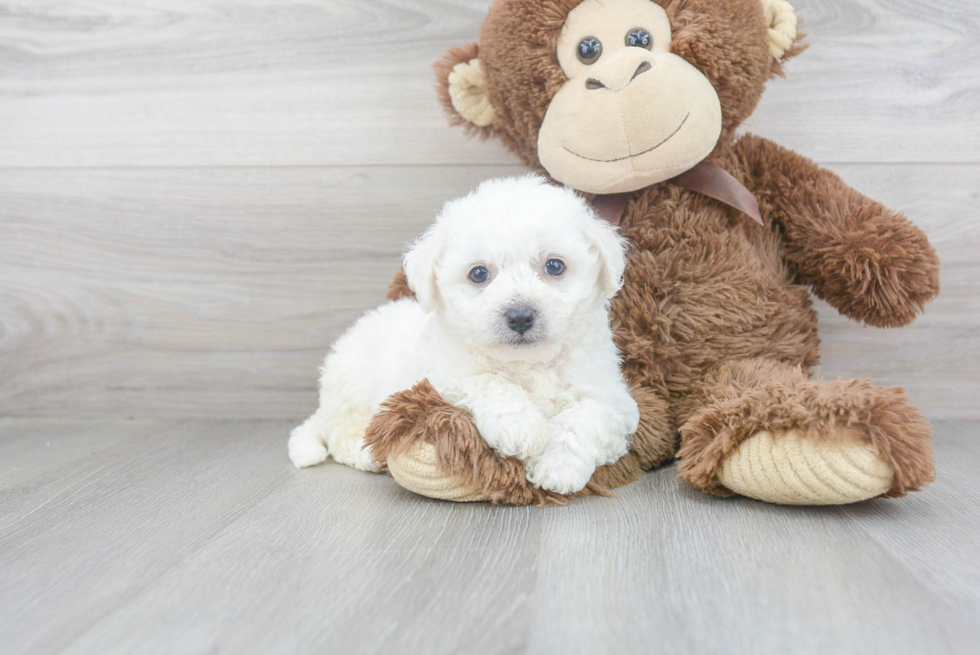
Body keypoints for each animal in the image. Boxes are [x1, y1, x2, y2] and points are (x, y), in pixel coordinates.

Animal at [290, 174, 644, 492]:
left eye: (555, 266)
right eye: (478, 274)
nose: (520, 316)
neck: (528, 365)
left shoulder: (612, 395)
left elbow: (589, 414)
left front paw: (559, 467)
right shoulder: (442, 376)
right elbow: (487, 382)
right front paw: (521, 426)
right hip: (349, 389)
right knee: (341, 434)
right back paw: (366, 454)